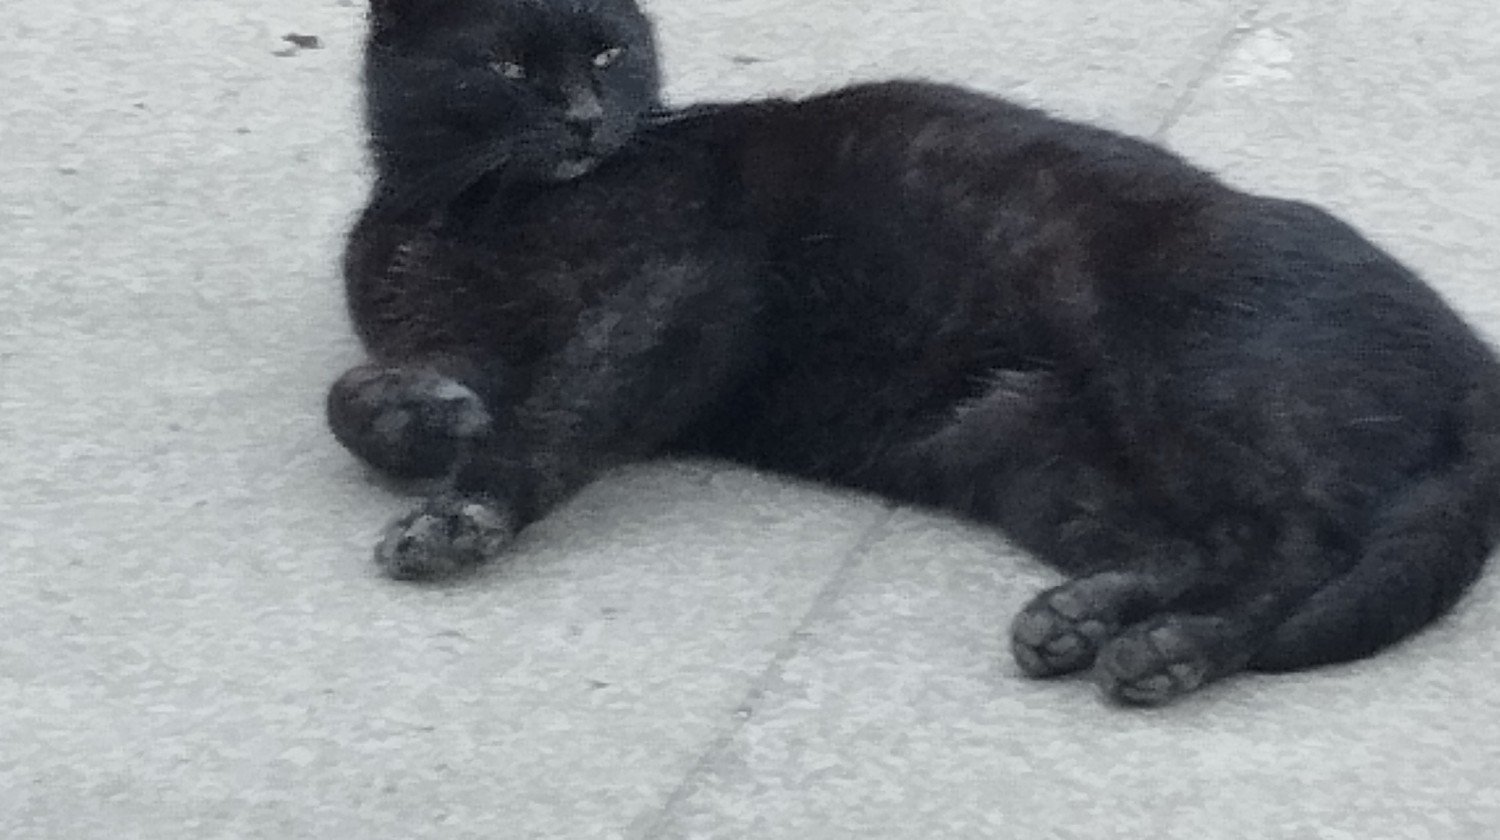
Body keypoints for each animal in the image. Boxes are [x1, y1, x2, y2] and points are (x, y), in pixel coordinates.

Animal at [328, 0, 1500, 705]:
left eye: (608, 50)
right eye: (507, 61)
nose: (581, 117)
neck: (461, 207)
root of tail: (1476, 361)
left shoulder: (684, 287)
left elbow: (562, 415)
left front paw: (461, 512)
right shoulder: (471, 339)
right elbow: (354, 399)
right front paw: (420, 418)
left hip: (1184, 374)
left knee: (1303, 542)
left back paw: (1174, 652)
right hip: (1033, 452)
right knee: (1212, 543)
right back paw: (1081, 619)